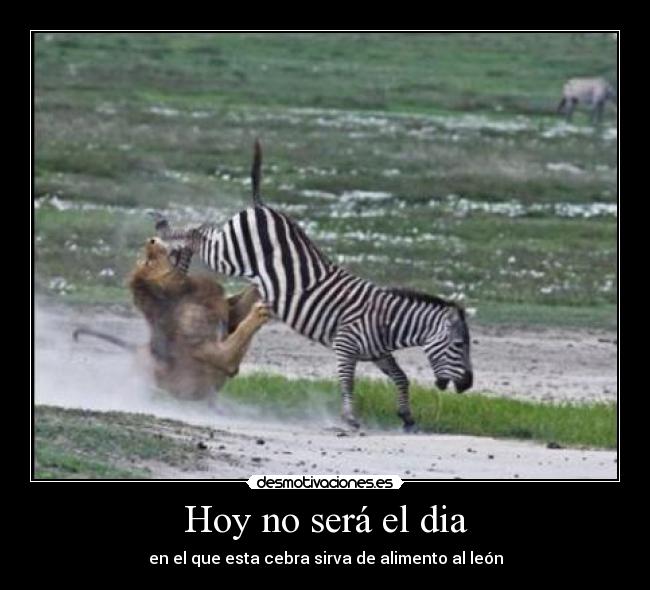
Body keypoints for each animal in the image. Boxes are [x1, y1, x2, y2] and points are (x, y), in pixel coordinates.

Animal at [73, 236, 269, 400]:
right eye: (149, 261)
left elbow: (251, 292)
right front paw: (260, 312)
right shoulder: (218, 355)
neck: (186, 292)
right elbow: (241, 334)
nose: (150, 240)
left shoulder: (230, 313)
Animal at [154, 143, 473, 430]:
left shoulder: (379, 353)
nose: (468, 385)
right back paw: (165, 235)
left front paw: (406, 416)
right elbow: (348, 382)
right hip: (229, 254)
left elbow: (401, 378)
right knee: (197, 234)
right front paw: (350, 419)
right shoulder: (346, 345)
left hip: (228, 248)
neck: (387, 322)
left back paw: (176, 256)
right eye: (459, 346)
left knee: (202, 231)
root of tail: (263, 206)